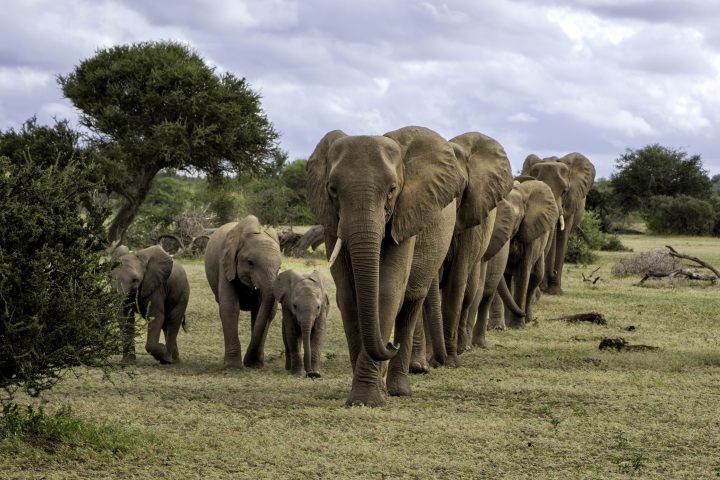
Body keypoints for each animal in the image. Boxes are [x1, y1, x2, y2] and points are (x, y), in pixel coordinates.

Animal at [204, 215, 282, 369]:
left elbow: (264, 311)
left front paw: (254, 364)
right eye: (250, 263)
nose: (247, 362)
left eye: (279, 268)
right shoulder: (225, 263)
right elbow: (230, 307)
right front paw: (233, 366)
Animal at [307, 126, 466, 406]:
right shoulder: (331, 222)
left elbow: (389, 290)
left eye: (392, 190)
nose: (390, 346)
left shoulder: (406, 214)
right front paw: (363, 397)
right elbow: (348, 294)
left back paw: (398, 389)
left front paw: (369, 399)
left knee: (410, 305)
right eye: (333, 189)